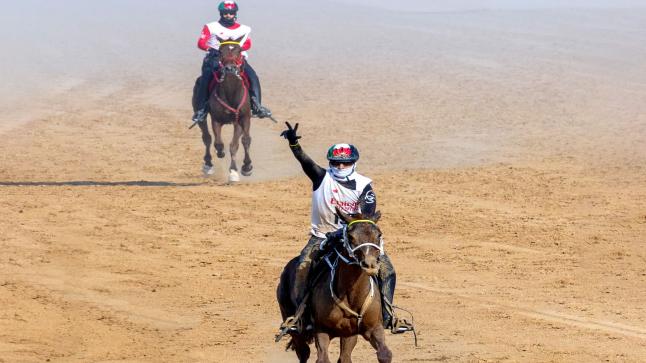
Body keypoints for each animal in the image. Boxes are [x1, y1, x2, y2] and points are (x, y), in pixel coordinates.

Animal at [192, 35, 253, 183]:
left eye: (239, 50)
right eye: (220, 51)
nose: (230, 68)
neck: (230, 91)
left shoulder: (241, 119)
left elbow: (238, 143)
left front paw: (242, 169)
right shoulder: (216, 120)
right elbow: (218, 143)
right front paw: (221, 153)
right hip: (200, 116)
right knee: (207, 137)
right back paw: (208, 165)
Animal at [276, 210, 392, 363]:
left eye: (379, 235)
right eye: (350, 236)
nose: (370, 264)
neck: (351, 295)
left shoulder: (372, 328)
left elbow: (385, 354)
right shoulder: (321, 331)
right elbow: (323, 358)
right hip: (293, 326)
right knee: (303, 352)